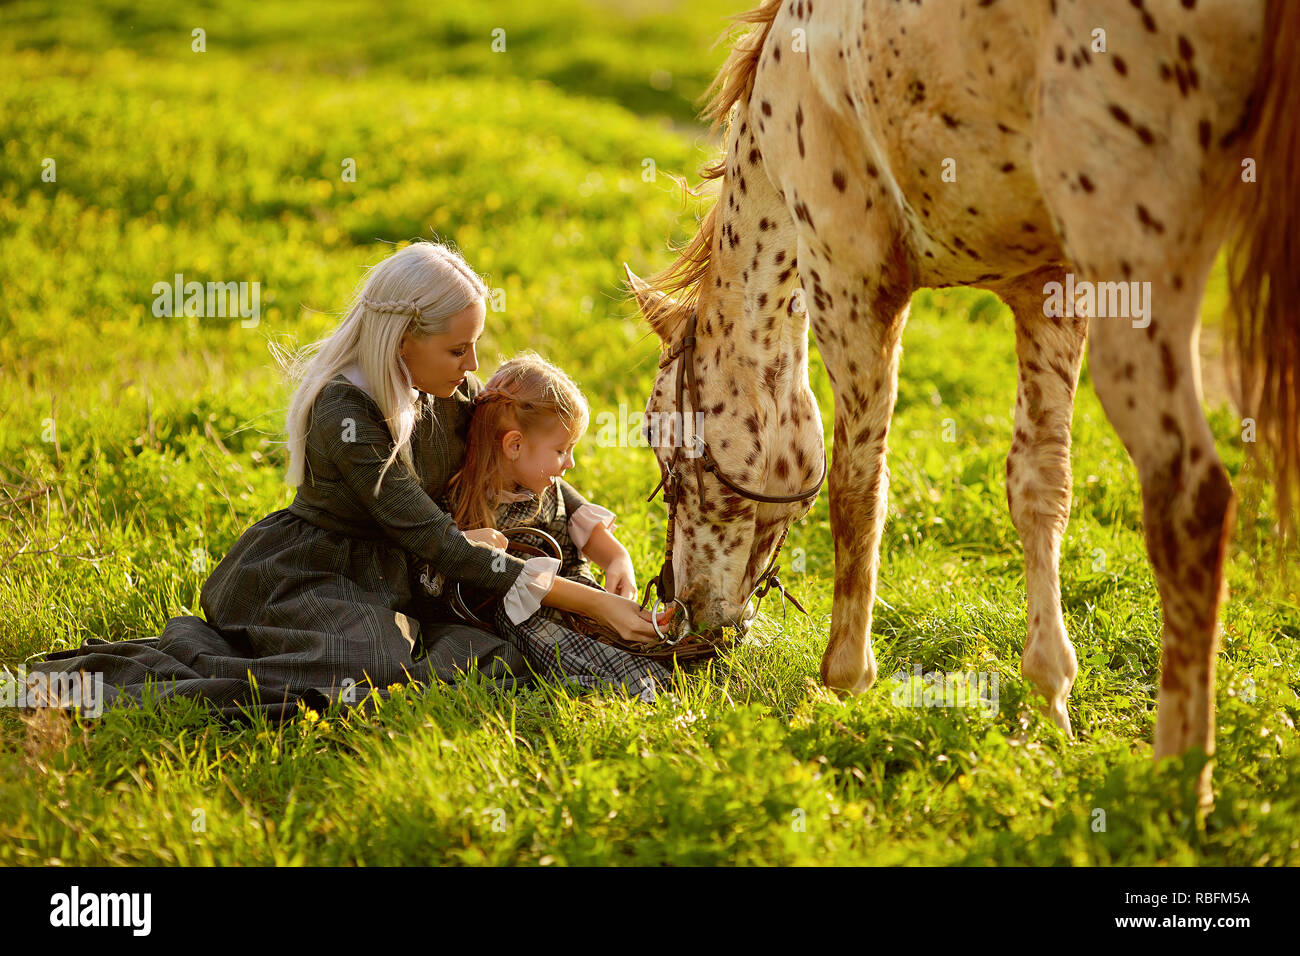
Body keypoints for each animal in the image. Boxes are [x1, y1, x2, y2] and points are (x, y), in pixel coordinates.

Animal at [624, 0, 1294, 806]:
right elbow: (1039, 488)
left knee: (1190, 503)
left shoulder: (852, 281)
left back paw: (1176, 786)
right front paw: (1050, 704)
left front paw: (842, 683)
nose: (680, 608)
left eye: (667, 449)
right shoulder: (1049, 291)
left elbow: (858, 488)